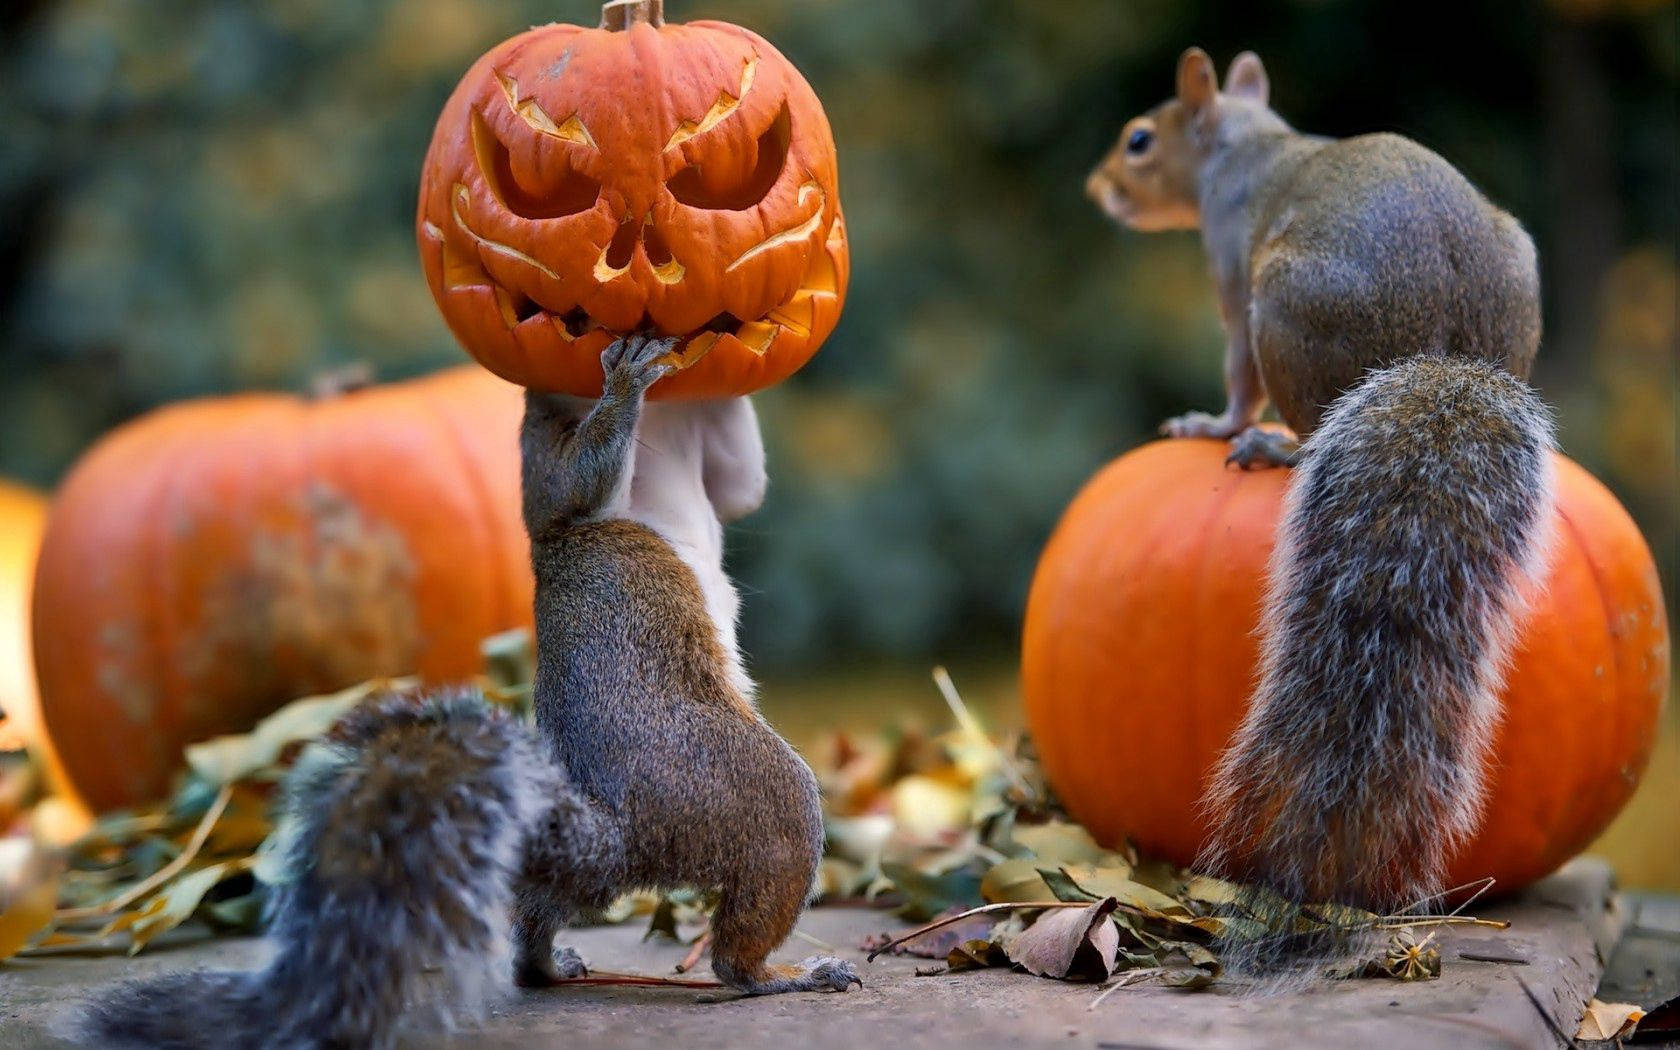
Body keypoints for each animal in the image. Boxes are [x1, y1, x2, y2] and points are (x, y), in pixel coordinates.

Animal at [72, 336, 860, 1048]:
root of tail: (619, 833)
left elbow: (739, 483)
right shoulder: (547, 475)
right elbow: (572, 486)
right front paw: (626, 378)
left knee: (535, 923)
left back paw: (552, 963)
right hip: (757, 798)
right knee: (742, 938)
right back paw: (784, 975)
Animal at [1081, 47, 1552, 967]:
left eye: (1140, 140)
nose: (1098, 188)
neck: (1247, 147)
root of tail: (1453, 353)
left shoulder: (1231, 272)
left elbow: (1234, 373)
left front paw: (1215, 422)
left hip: (1286, 308)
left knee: (1294, 413)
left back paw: (1274, 447)